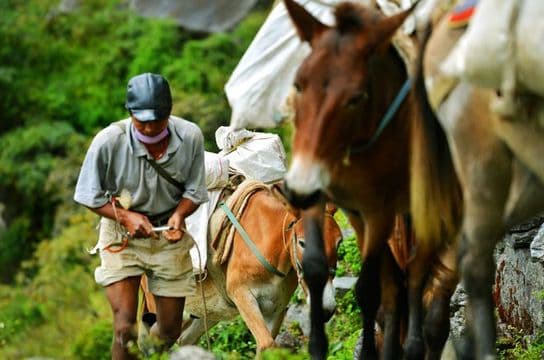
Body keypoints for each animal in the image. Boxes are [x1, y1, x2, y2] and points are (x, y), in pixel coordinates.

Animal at [142, 181, 342, 356]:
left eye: (339, 242)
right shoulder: (243, 295)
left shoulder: (277, 308)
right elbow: (267, 344)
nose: (326, 309)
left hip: (205, 312)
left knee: (184, 340)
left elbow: (266, 347)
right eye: (302, 243)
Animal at [280, 1, 464, 358]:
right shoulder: (335, 200)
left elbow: (368, 289)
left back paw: (415, 345)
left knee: (424, 290)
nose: (299, 189)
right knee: (398, 289)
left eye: (355, 98)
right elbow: (316, 267)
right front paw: (317, 347)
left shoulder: (380, 211)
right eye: (297, 84)